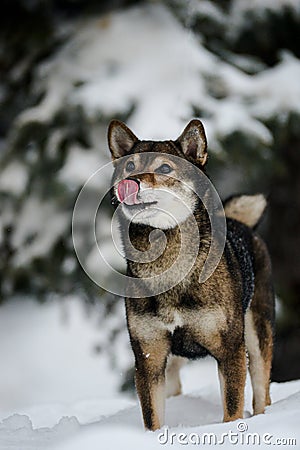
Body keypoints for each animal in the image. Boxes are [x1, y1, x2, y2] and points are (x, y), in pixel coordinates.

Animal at [107, 119, 274, 432]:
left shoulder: (230, 349)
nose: (131, 182)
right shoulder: (149, 356)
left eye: (164, 168)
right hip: (170, 364)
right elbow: (153, 417)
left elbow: (232, 408)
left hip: (258, 334)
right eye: (129, 165)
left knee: (262, 391)